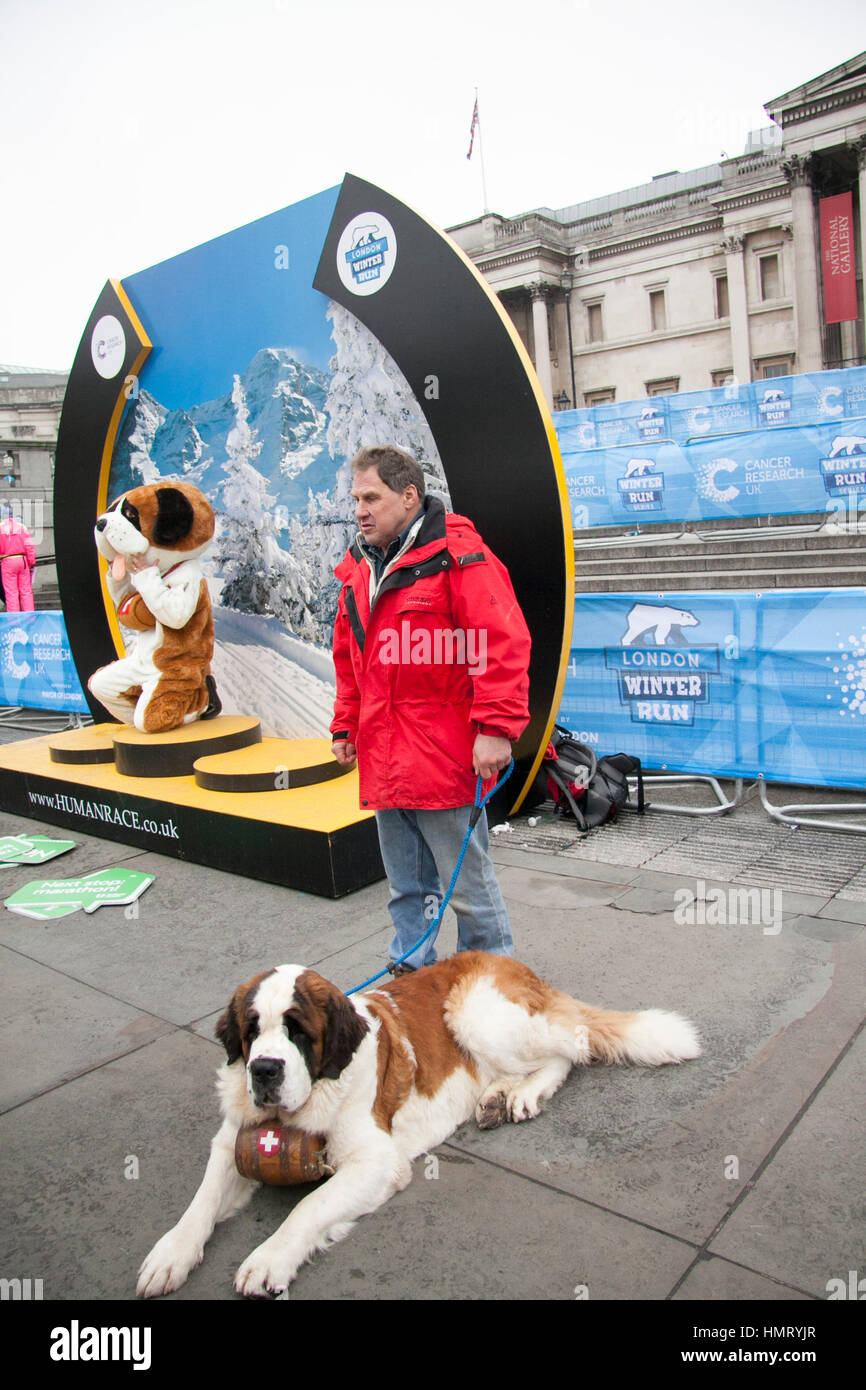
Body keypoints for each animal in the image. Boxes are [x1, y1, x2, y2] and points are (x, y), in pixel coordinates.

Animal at [136, 950, 706, 1295]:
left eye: (298, 1032)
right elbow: (202, 1200)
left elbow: (308, 1208)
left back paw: (523, 1094)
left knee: (573, 1050)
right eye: (252, 1030)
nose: (264, 1070)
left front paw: (269, 1259)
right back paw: (498, 1096)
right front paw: (170, 1254)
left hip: (480, 1014)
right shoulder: (233, 1141)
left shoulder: (374, 1162)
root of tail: (515, 964)